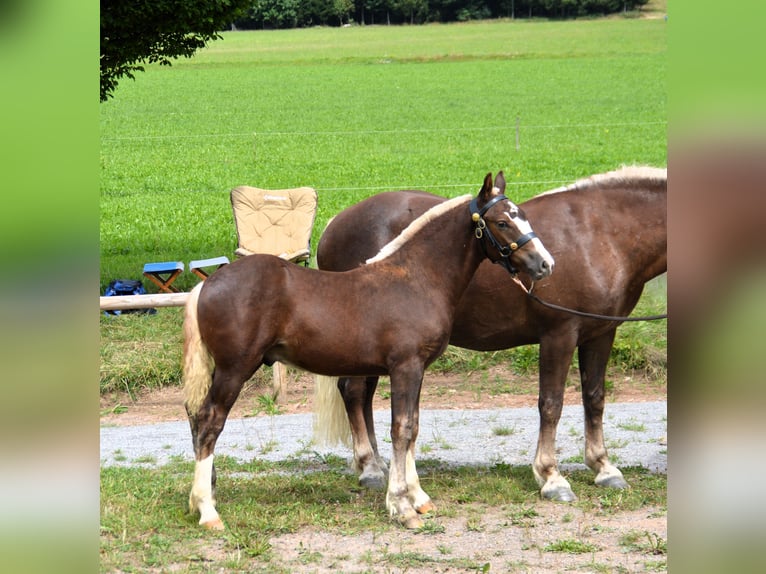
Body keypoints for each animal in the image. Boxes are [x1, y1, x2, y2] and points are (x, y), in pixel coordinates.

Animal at [183, 173, 556, 532]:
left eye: (523, 215)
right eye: (502, 221)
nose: (545, 263)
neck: (417, 278)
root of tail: (206, 284)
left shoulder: (417, 370)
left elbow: (413, 427)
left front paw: (419, 497)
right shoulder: (406, 367)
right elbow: (401, 429)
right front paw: (402, 507)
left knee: (199, 420)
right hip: (235, 369)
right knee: (210, 421)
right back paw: (208, 511)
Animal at [316, 166, 668, 504]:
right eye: (501, 222)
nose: (545, 264)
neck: (599, 233)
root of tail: (335, 223)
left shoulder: (602, 333)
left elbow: (594, 398)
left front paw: (604, 468)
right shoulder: (560, 335)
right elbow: (551, 403)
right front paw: (551, 477)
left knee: (363, 395)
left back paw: (379, 464)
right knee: (353, 391)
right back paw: (370, 468)